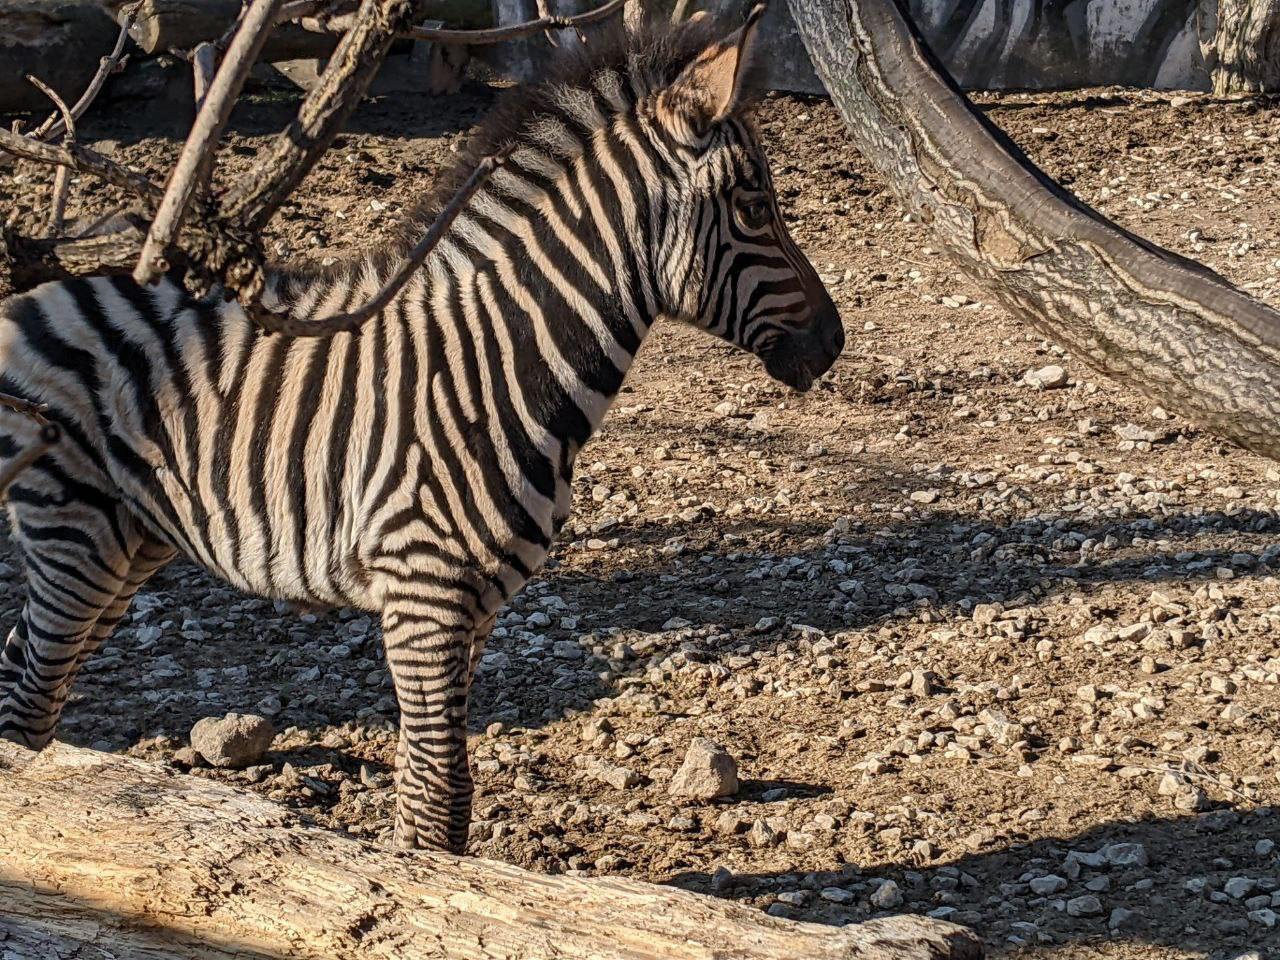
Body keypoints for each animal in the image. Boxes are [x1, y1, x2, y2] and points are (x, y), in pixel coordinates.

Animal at [0, 5, 844, 849]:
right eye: (755, 209)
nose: (834, 342)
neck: (501, 359)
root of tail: (30, 297)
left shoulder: (471, 606)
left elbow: (424, 786)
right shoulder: (424, 591)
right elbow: (443, 789)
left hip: (129, 542)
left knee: (21, 671)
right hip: (76, 534)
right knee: (31, 691)